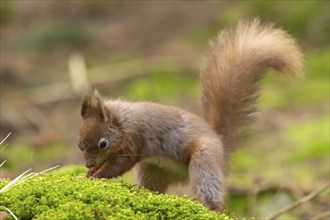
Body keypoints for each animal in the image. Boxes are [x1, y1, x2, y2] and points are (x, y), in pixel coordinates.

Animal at [78, 19, 304, 211]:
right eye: (79, 145)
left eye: (103, 144)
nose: (88, 164)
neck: (122, 120)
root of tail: (221, 147)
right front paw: (89, 173)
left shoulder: (133, 140)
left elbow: (119, 165)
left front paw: (96, 175)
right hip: (152, 169)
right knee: (154, 187)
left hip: (204, 161)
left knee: (211, 192)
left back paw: (210, 207)